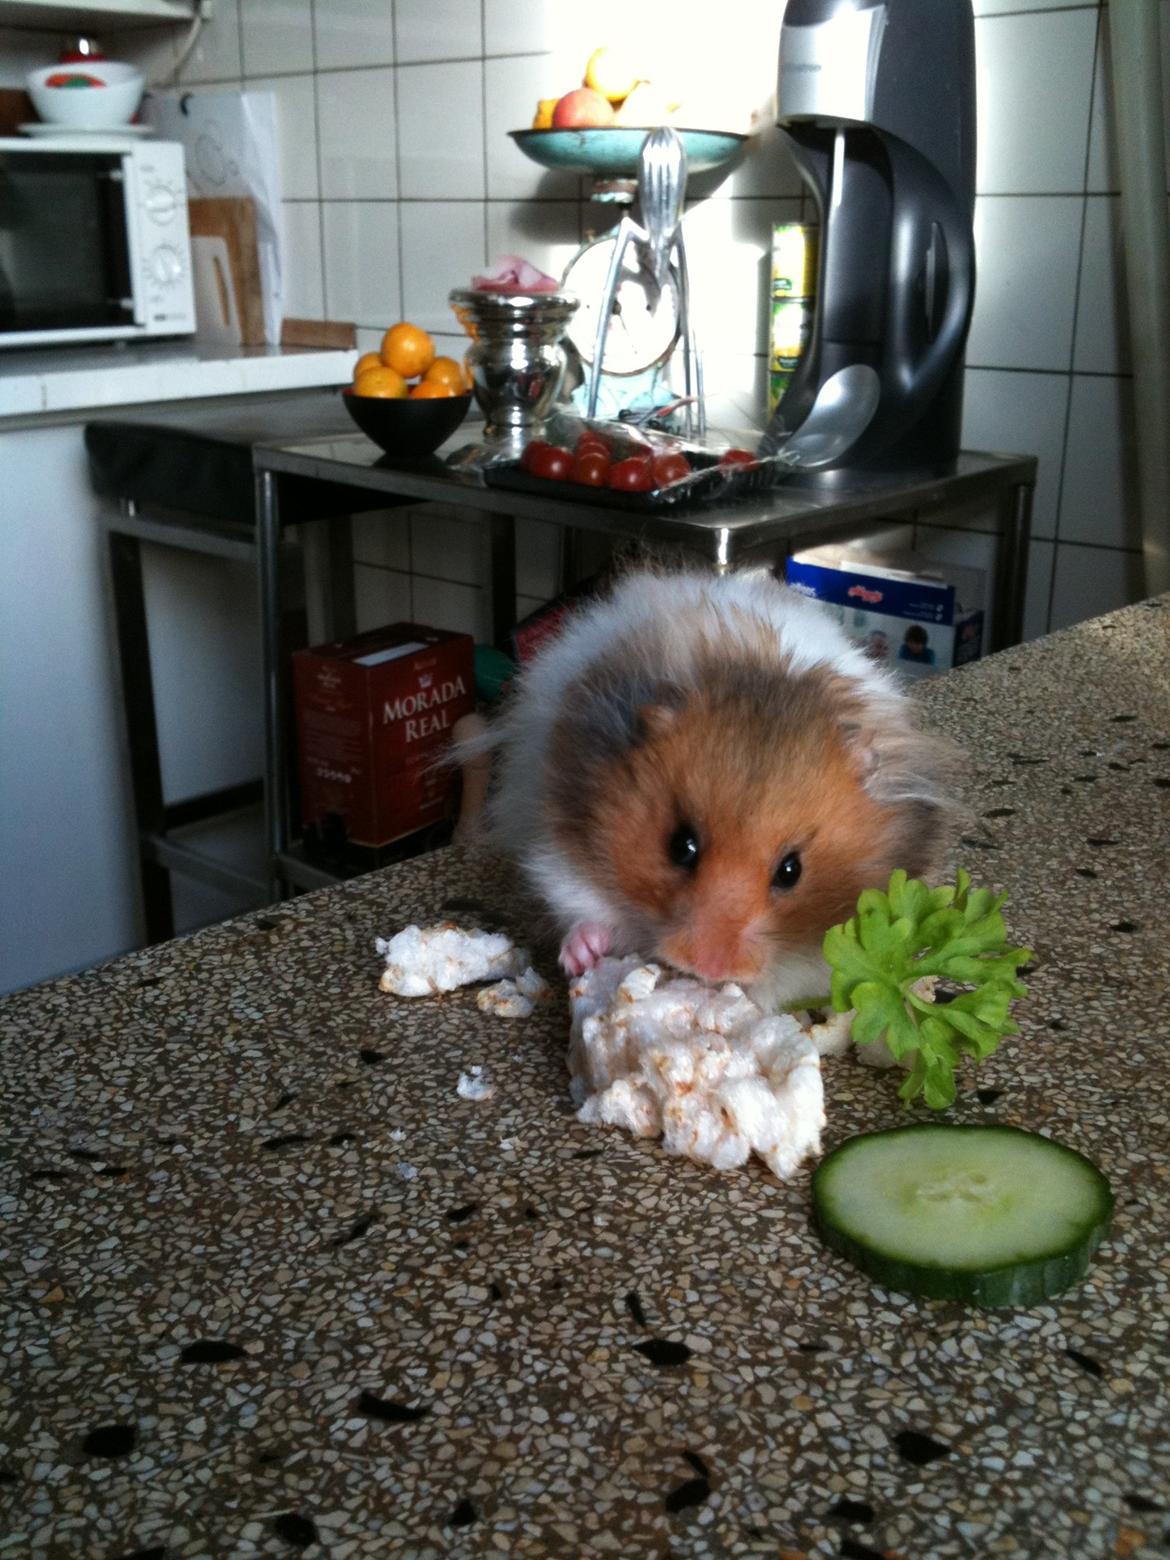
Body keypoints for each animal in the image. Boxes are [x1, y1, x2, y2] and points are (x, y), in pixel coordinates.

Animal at [471, 567, 957, 1009]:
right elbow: (580, 903)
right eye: (681, 847)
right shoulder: (563, 840)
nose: (707, 966)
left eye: (791, 871)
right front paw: (584, 955)